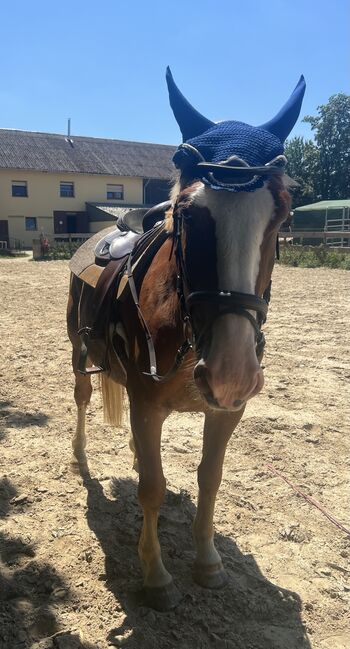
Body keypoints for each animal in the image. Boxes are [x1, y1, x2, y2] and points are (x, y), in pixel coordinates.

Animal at [67, 68, 304, 612]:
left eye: (282, 216)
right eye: (188, 215)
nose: (232, 371)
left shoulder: (227, 410)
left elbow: (209, 478)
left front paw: (209, 562)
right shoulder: (146, 403)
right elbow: (152, 489)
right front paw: (156, 576)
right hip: (78, 351)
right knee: (83, 396)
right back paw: (81, 455)